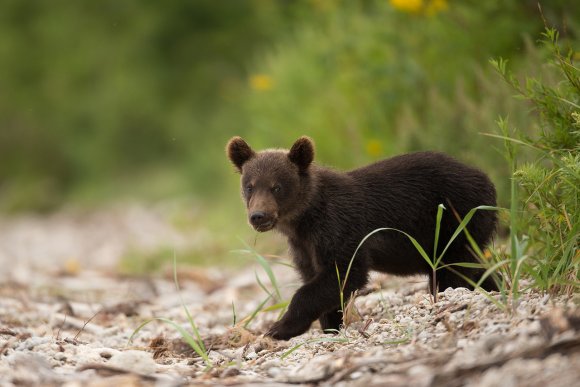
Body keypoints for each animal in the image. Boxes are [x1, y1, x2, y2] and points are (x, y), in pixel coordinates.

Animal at [227, 136, 498, 340]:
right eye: (250, 186)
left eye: (277, 187)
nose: (258, 216)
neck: (303, 219)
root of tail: (487, 180)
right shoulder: (303, 245)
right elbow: (318, 277)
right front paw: (330, 323)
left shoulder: (339, 226)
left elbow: (344, 272)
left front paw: (279, 327)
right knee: (473, 267)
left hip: (457, 220)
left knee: (450, 268)